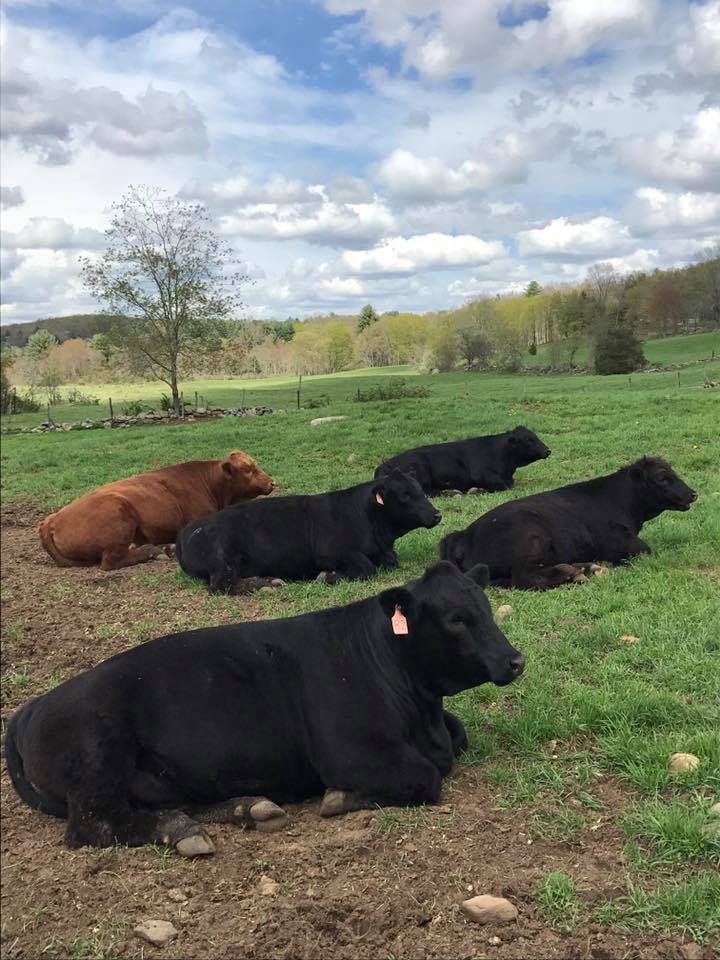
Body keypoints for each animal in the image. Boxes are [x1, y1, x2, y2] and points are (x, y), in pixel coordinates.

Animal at [4, 564, 524, 856]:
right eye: (456, 620)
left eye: (487, 607)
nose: (514, 660)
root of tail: (32, 707)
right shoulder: (349, 751)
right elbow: (427, 776)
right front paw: (341, 798)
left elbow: (457, 737)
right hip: (99, 747)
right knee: (93, 824)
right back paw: (180, 829)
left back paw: (245, 807)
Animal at [39, 450, 276, 568]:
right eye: (248, 469)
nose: (272, 482)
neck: (211, 484)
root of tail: (52, 519)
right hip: (119, 515)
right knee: (110, 561)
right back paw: (153, 551)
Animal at [177, 466, 442, 592]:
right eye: (405, 495)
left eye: (420, 490)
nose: (437, 514)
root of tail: (187, 531)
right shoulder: (330, 552)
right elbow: (366, 568)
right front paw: (328, 576)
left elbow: (389, 562)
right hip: (219, 559)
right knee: (221, 585)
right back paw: (267, 584)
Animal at [374, 426, 548, 496]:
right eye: (529, 439)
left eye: (535, 436)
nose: (548, 450)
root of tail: (384, 464)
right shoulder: (479, 474)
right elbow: (502, 485)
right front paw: (477, 490)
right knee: (426, 492)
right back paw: (452, 492)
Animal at [438, 454, 696, 588]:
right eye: (662, 478)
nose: (692, 493)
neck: (620, 501)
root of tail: (462, 534)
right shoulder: (621, 543)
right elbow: (646, 550)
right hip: (531, 537)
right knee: (525, 576)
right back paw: (572, 572)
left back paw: (585, 567)